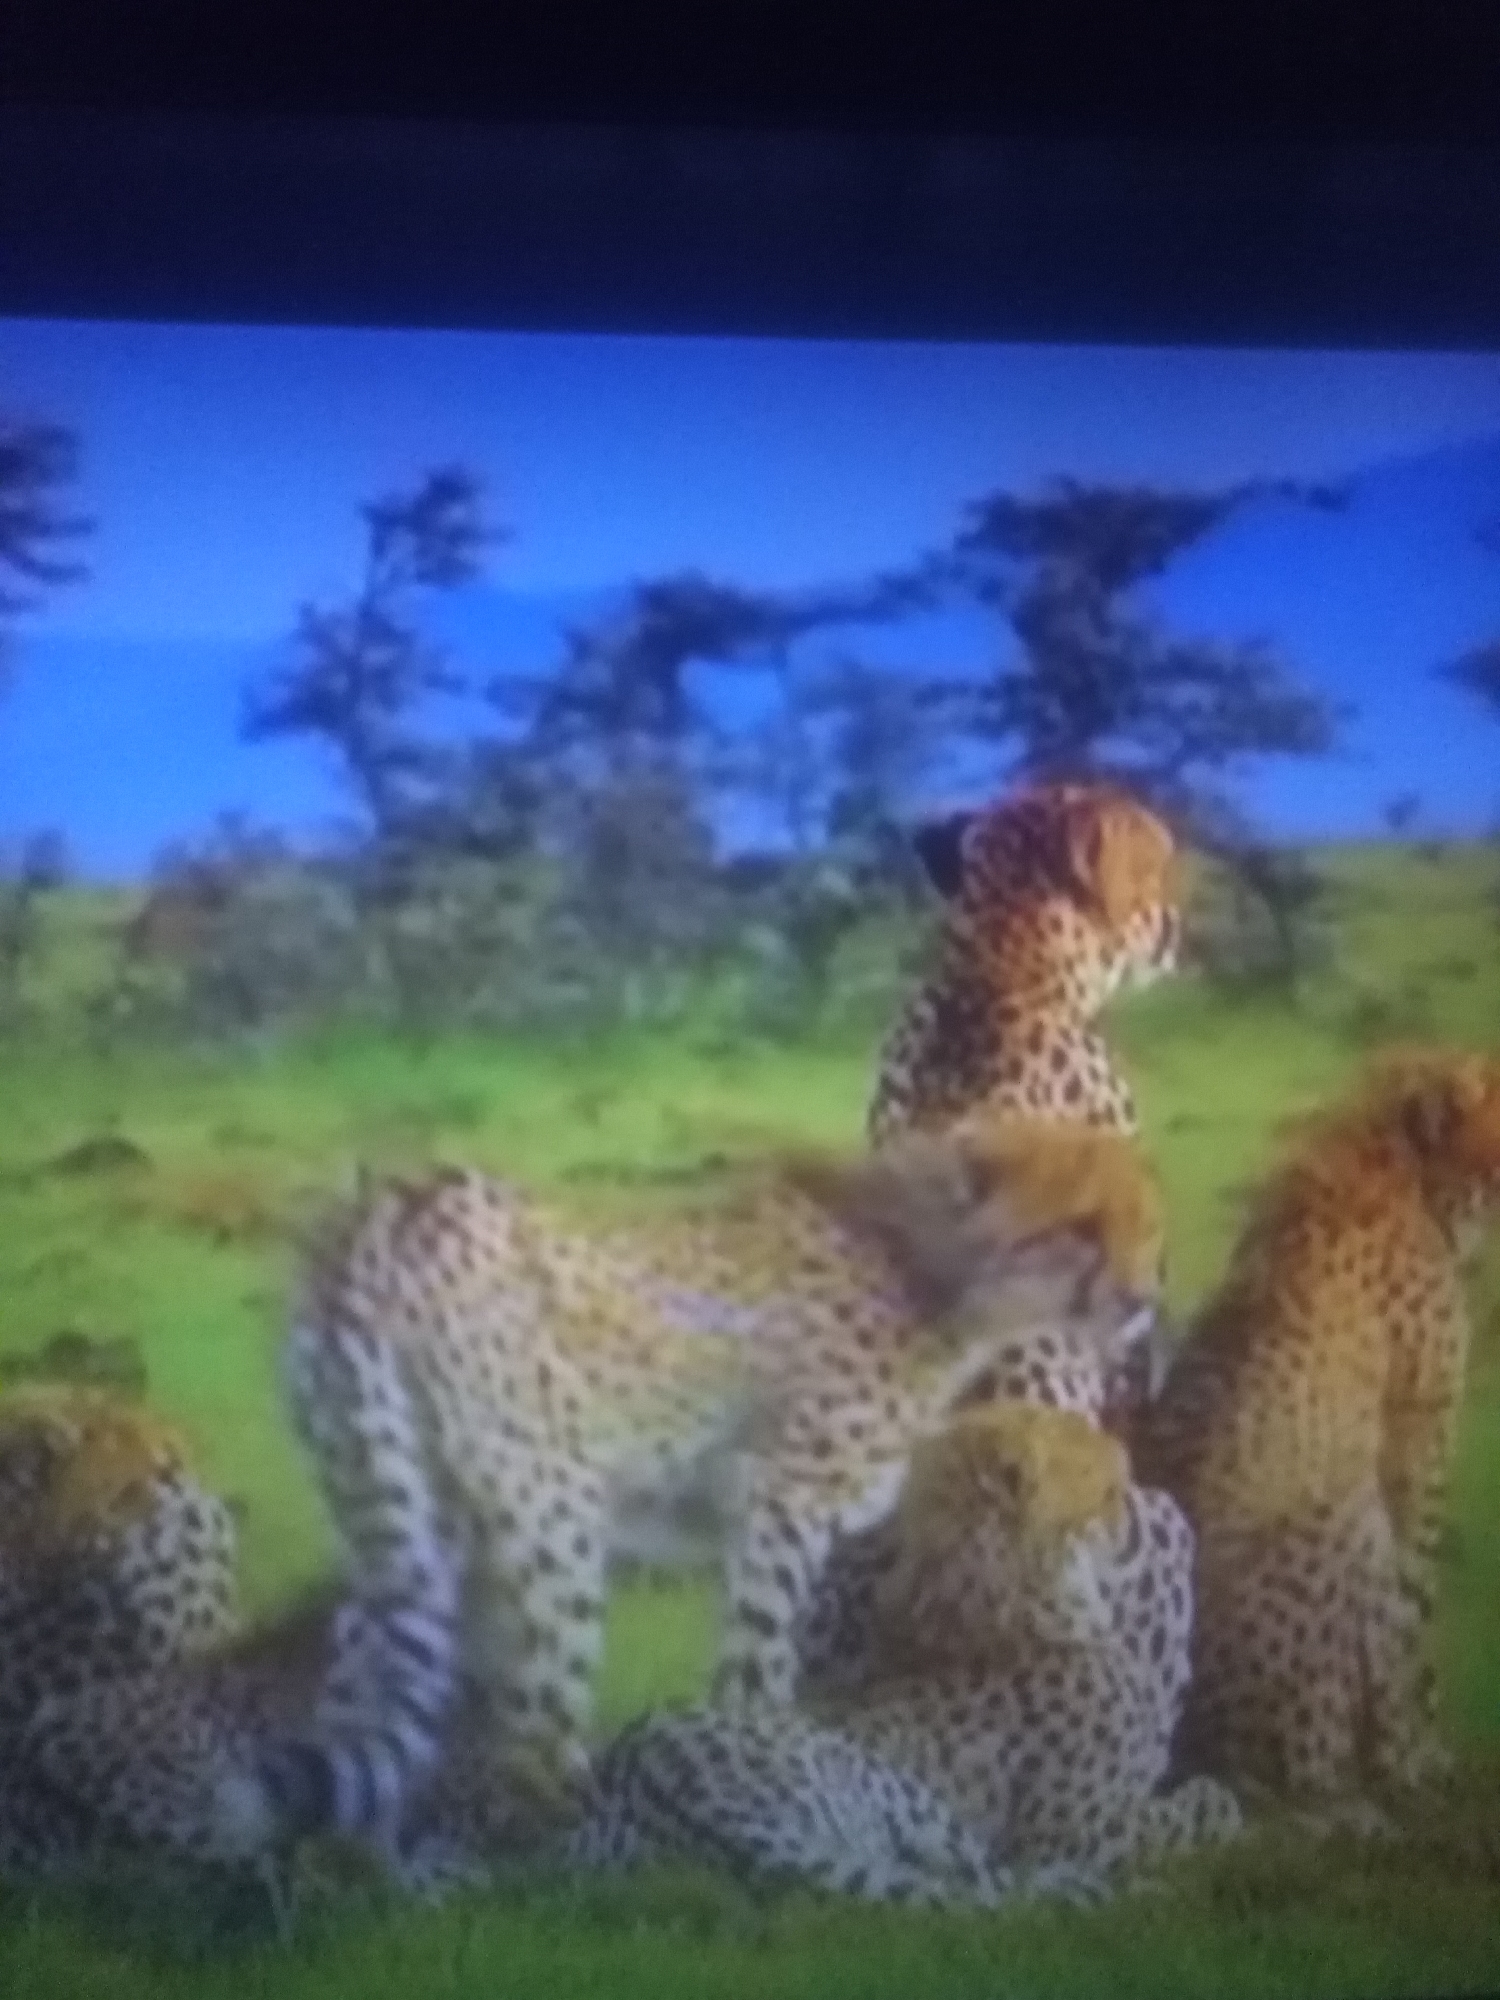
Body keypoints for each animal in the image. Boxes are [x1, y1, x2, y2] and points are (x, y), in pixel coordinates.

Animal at [251, 1116, 1168, 1863]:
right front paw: (767, 1769)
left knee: (365, 1691)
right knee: (532, 1733)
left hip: (407, 1517)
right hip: (549, 1521)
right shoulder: (780, 1502)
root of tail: (390, 1200)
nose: (1141, 1301)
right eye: (1079, 1227)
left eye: (1140, 1223)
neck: (928, 1263)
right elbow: (761, 1662)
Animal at [570, 1402, 1241, 1904]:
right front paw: (1222, 1812)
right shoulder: (1073, 1836)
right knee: (999, 1891)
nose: (1133, 1505)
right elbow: (1198, 1809)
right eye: (1107, 1489)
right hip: (922, 1816)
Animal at [1135, 1045, 1500, 1812]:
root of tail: (1182, 1747)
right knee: (1296, 1785)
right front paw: (1421, 1759)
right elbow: (1415, 1604)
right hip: (1336, 1520)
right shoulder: (1418, 1432)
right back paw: (1356, 1799)